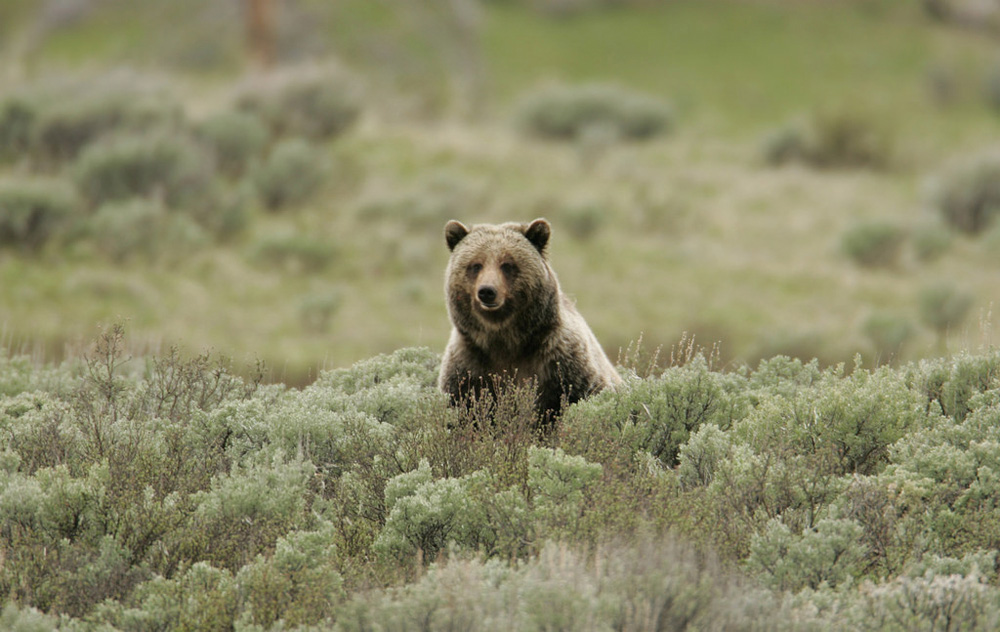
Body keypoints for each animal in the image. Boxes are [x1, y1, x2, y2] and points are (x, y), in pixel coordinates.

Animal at [437, 217, 621, 419]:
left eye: (507, 264)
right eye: (476, 265)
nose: (487, 291)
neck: (505, 341)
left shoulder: (562, 364)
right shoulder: (468, 367)